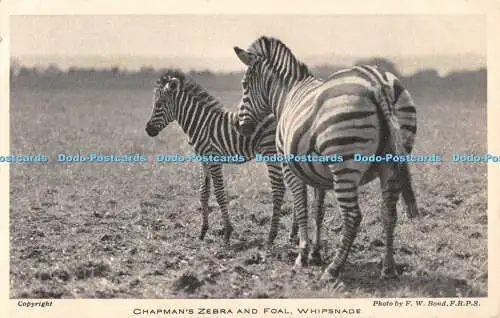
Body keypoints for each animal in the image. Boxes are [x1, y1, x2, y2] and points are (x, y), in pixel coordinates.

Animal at [145, 69, 292, 247]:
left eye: (159, 104)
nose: (147, 129)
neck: (201, 123)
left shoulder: (214, 158)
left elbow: (220, 193)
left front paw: (227, 232)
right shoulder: (204, 159)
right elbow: (203, 192)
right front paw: (203, 231)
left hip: (271, 152)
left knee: (279, 189)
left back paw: (271, 237)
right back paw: (293, 235)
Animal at [233, 36, 418, 282]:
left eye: (244, 85)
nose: (239, 126)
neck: (288, 94)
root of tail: (377, 82)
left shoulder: (289, 167)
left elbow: (301, 207)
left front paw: (302, 255)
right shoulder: (316, 172)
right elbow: (317, 211)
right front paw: (315, 253)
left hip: (345, 165)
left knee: (352, 216)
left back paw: (334, 269)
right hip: (391, 164)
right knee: (389, 213)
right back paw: (388, 268)